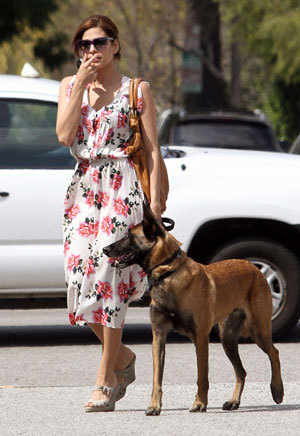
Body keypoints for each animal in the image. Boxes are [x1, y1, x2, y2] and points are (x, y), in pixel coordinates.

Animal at [103, 204, 284, 416]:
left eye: (130, 236)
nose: (105, 249)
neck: (168, 272)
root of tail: (254, 268)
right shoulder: (158, 337)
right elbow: (157, 377)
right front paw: (154, 405)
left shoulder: (200, 338)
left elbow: (201, 376)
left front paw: (199, 403)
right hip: (228, 339)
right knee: (241, 371)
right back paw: (234, 402)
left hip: (258, 330)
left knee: (274, 353)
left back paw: (277, 390)